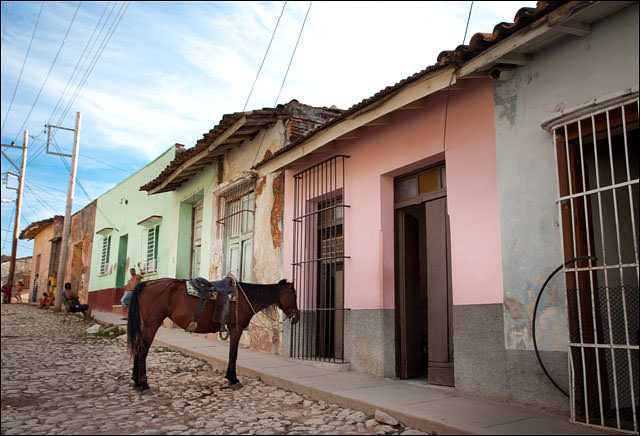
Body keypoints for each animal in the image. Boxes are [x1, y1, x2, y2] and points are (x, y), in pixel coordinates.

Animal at [129, 278, 302, 390]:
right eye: (293, 293)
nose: (297, 316)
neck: (244, 297)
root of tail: (147, 283)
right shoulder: (236, 328)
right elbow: (233, 354)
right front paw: (233, 379)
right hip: (152, 324)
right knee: (143, 351)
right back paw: (144, 383)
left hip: (146, 325)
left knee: (138, 348)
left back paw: (136, 381)